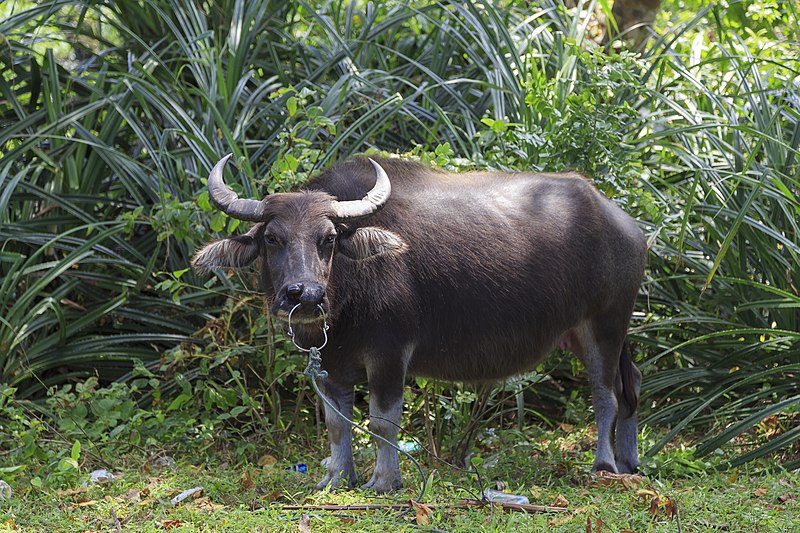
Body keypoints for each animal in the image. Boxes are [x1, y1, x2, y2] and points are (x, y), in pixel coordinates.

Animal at [194, 153, 648, 490]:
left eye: (329, 238)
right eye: (272, 238)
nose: (303, 295)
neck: (348, 299)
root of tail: (626, 224)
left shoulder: (389, 353)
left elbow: (382, 419)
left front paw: (384, 481)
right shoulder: (331, 366)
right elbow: (337, 425)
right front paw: (338, 478)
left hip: (606, 323)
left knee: (606, 393)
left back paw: (604, 465)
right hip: (595, 333)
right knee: (631, 386)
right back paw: (630, 462)